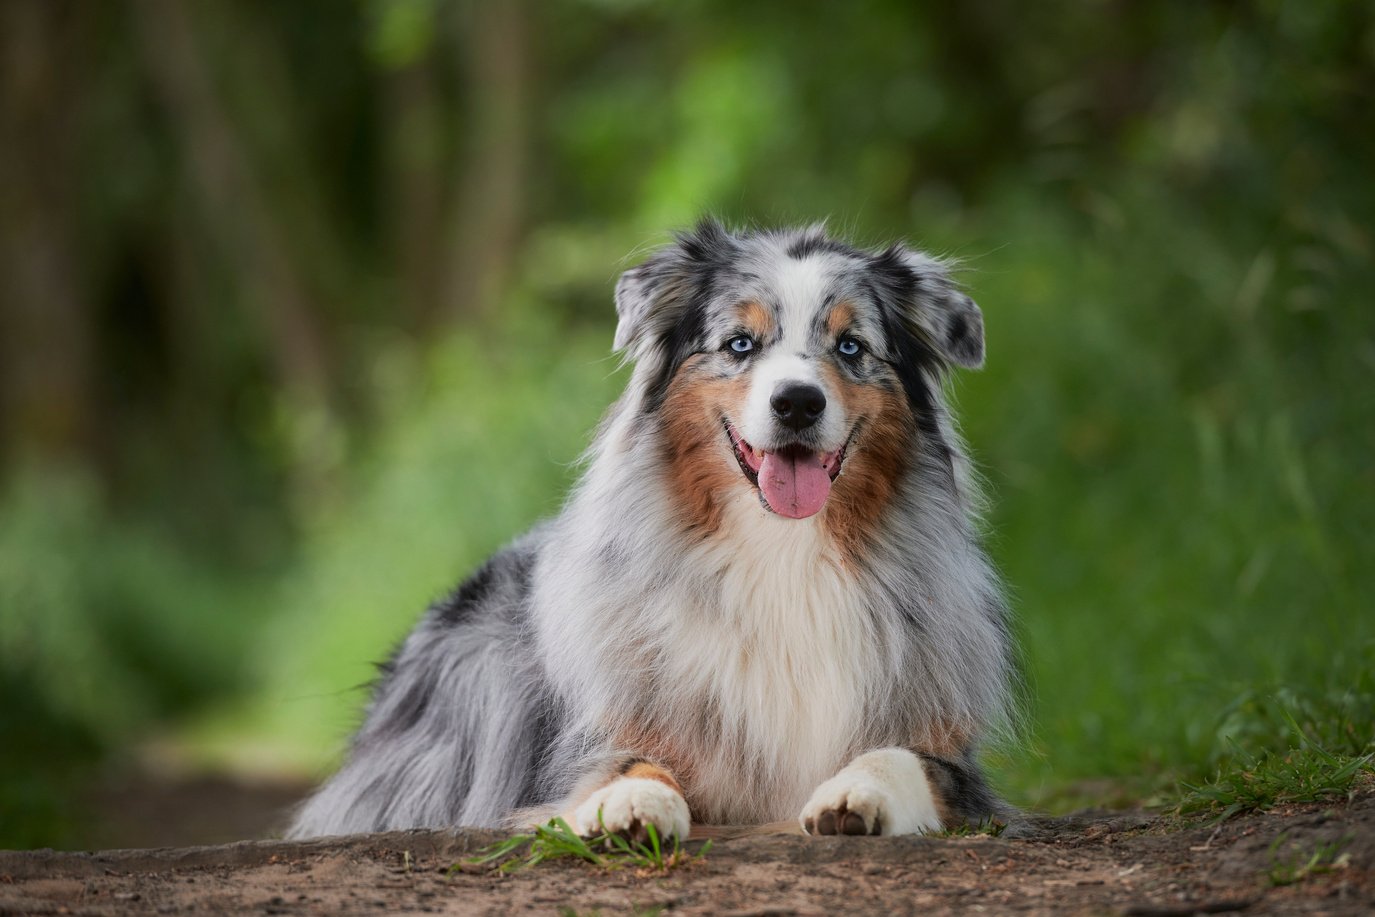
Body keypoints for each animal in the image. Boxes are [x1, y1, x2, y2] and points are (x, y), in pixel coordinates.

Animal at [290, 219, 1017, 841]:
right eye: (739, 344)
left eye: (850, 346)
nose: (797, 402)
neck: (781, 551)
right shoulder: (597, 738)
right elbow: (629, 762)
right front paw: (632, 804)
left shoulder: (952, 759)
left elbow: (903, 757)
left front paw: (854, 793)